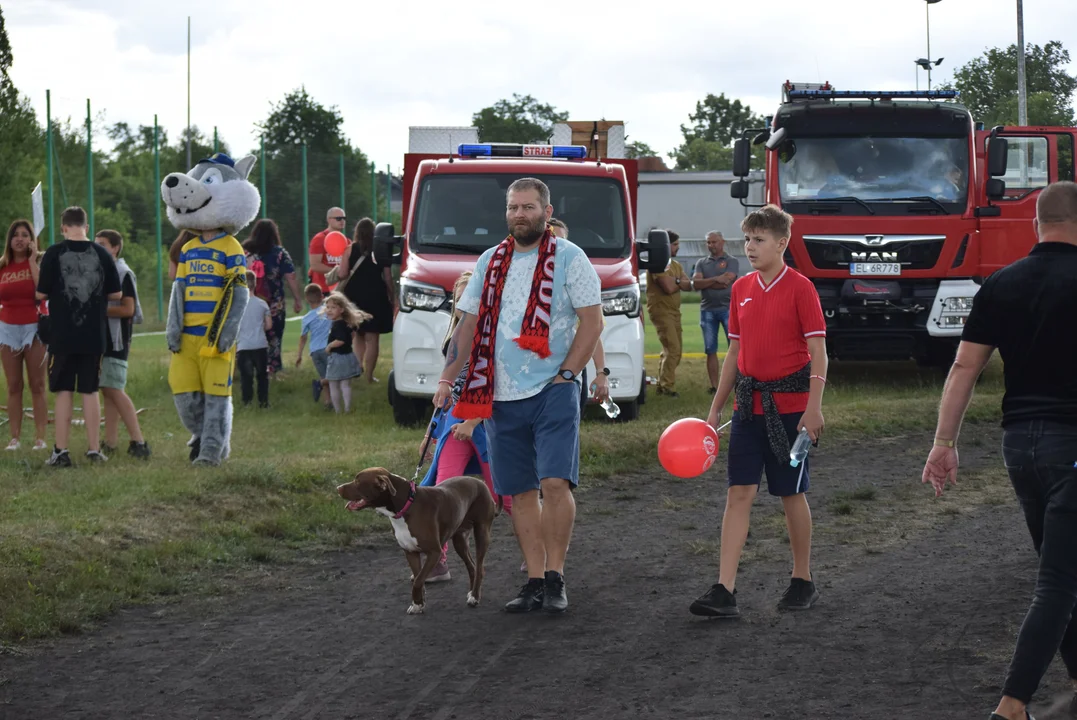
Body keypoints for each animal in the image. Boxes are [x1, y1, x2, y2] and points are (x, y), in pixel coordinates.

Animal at [338, 469, 501, 615]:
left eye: (358, 482)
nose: (338, 488)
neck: (406, 505)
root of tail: (480, 483)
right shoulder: (411, 553)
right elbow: (418, 578)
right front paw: (418, 603)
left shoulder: (434, 552)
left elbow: (418, 580)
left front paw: (417, 603)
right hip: (459, 539)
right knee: (472, 566)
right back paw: (471, 592)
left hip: (482, 532)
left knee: (479, 567)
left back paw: (475, 596)